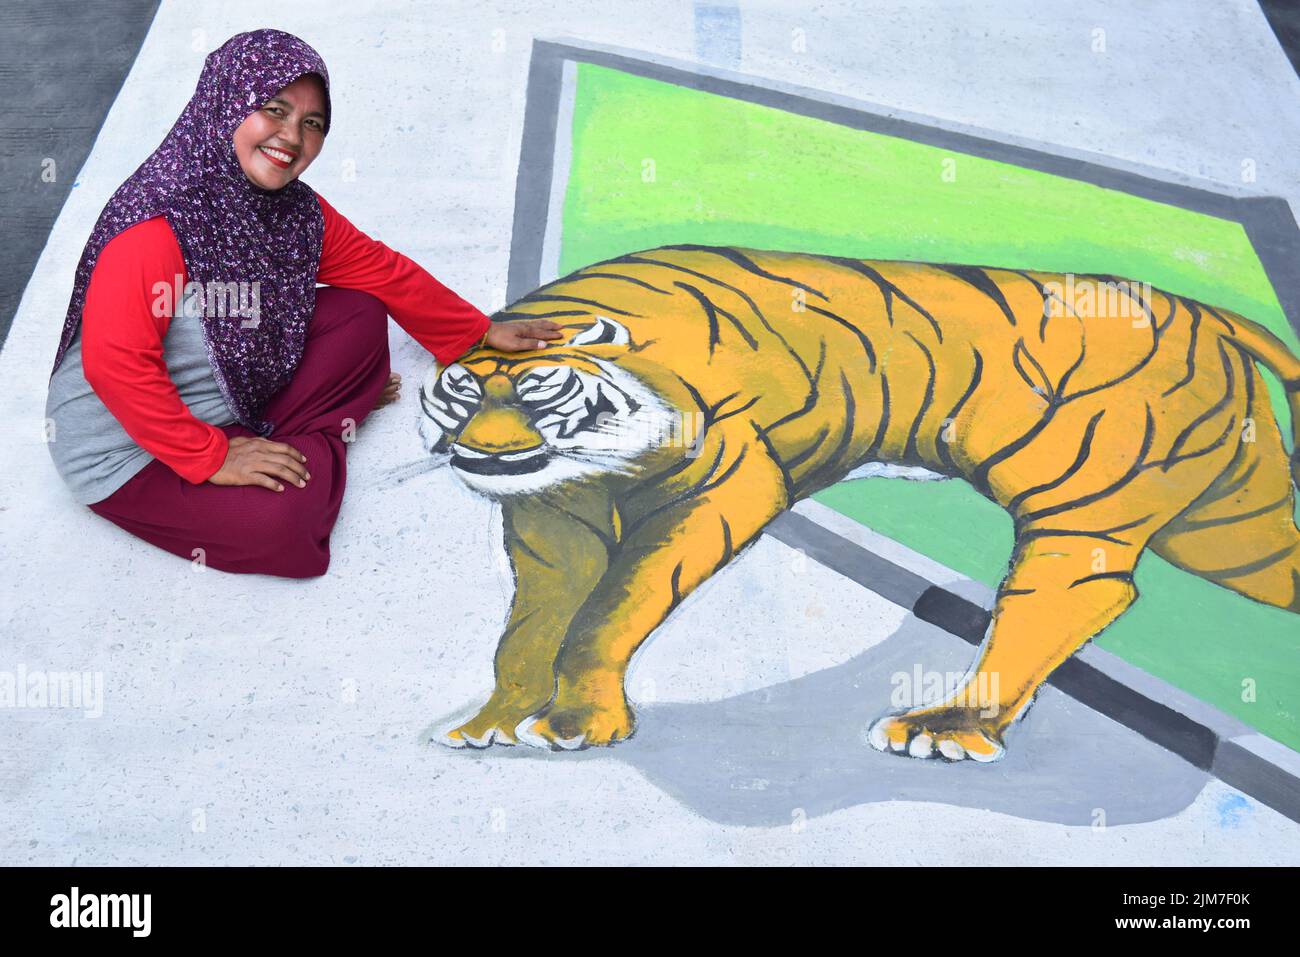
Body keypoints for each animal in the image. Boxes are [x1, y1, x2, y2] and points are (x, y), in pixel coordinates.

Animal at [418, 244, 1300, 764]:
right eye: (461, 394)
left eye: (539, 391)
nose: (483, 452)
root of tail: (1210, 312)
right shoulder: (551, 513)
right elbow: (532, 626)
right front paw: (495, 716)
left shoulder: (723, 484)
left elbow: (607, 609)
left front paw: (576, 723)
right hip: (1235, 526)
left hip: (1084, 498)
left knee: (1072, 594)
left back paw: (948, 727)